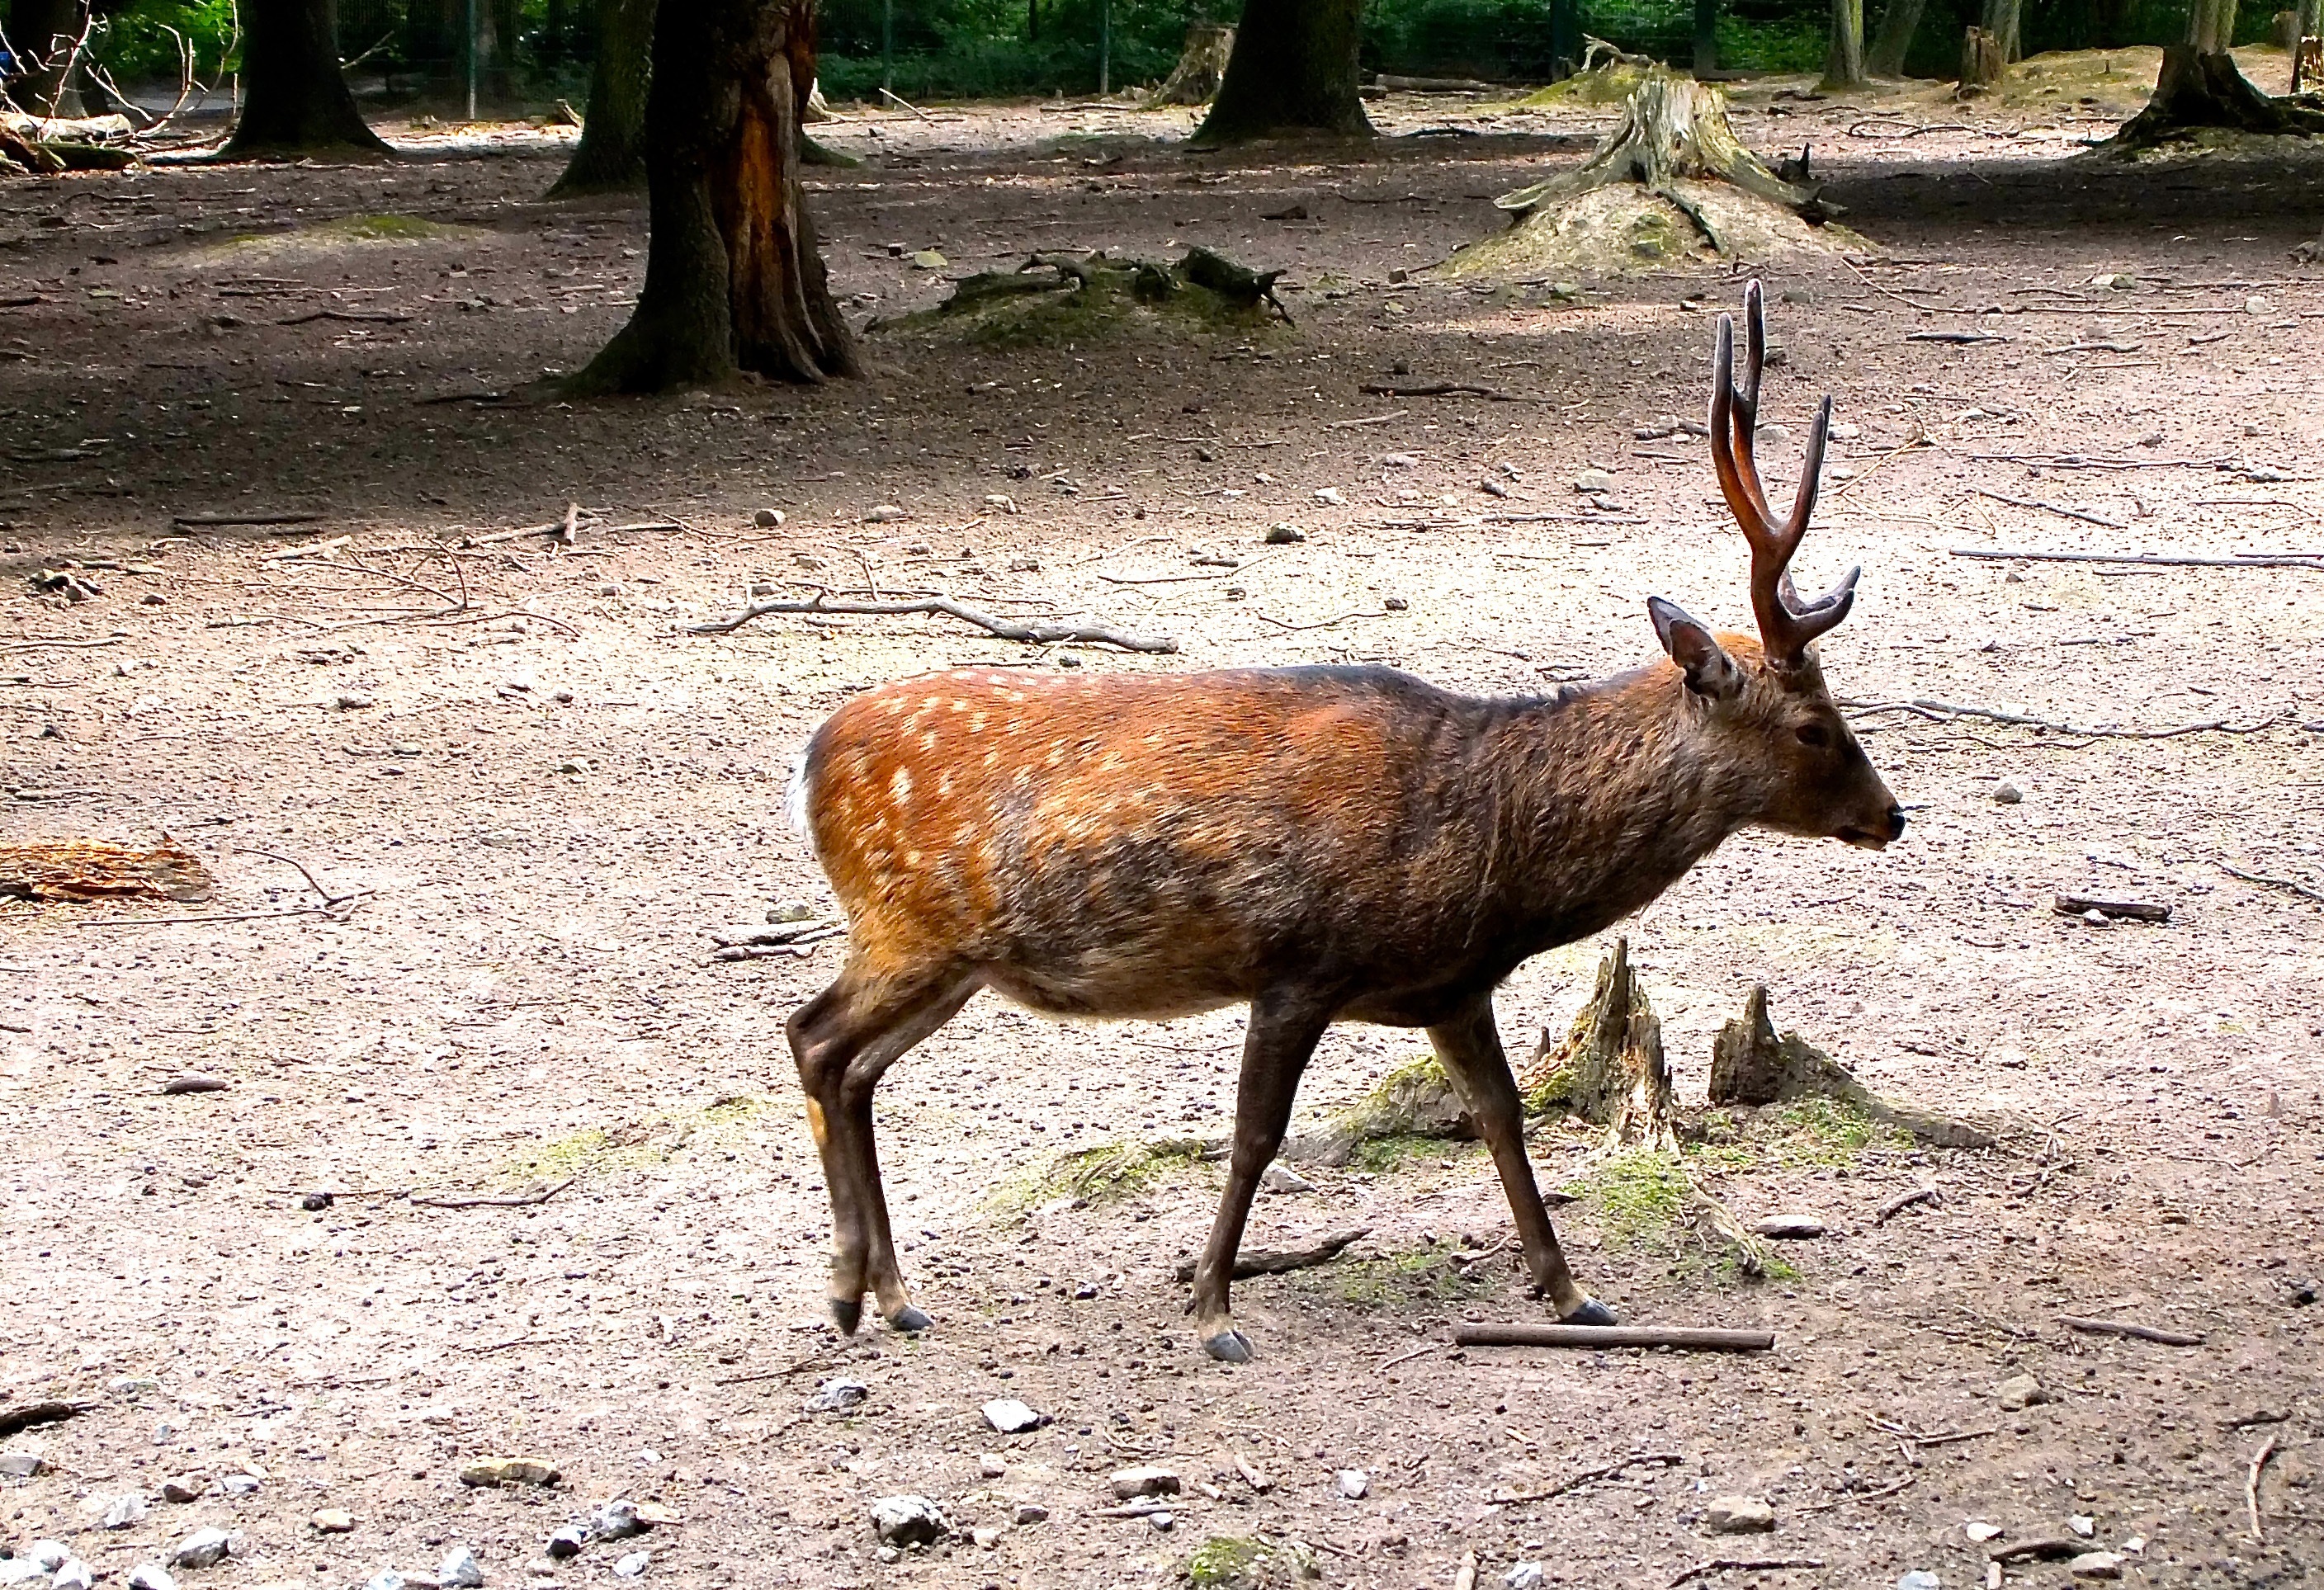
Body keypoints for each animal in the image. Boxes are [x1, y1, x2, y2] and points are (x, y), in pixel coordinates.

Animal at [784, 281, 1902, 1362]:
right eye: (1813, 725)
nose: (1891, 814)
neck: (1489, 858)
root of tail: (808, 762)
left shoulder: (1449, 984)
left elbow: (1501, 1118)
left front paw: (1572, 1293)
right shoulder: (1298, 963)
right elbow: (1255, 1134)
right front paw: (1212, 1311)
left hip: (955, 957)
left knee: (852, 1064)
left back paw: (892, 1298)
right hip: (906, 925)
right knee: (812, 1035)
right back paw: (848, 1291)